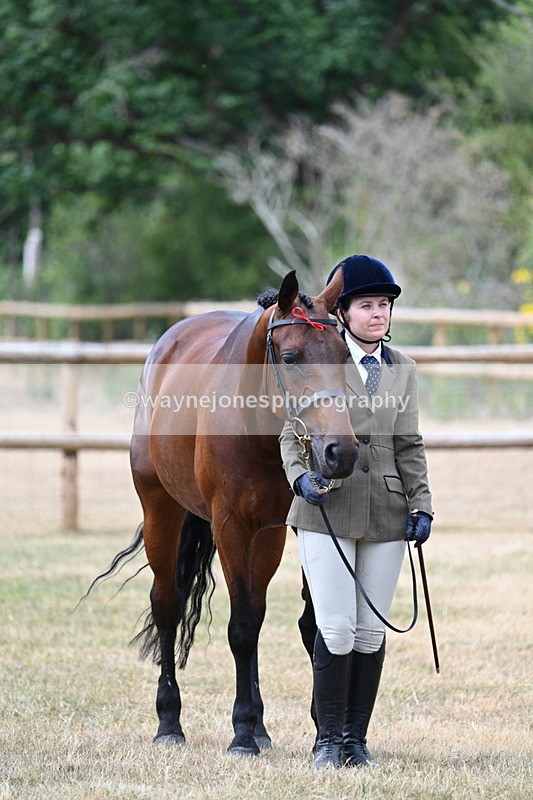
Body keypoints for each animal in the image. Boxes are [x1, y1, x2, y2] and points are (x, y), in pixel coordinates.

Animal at [91, 268, 358, 756]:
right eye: (289, 357)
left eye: (344, 355)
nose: (340, 451)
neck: (254, 426)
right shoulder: (231, 526)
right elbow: (241, 628)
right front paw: (241, 733)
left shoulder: (275, 529)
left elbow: (289, 621)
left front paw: (298, 727)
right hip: (160, 509)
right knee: (167, 605)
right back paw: (169, 723)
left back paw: (262, 729)